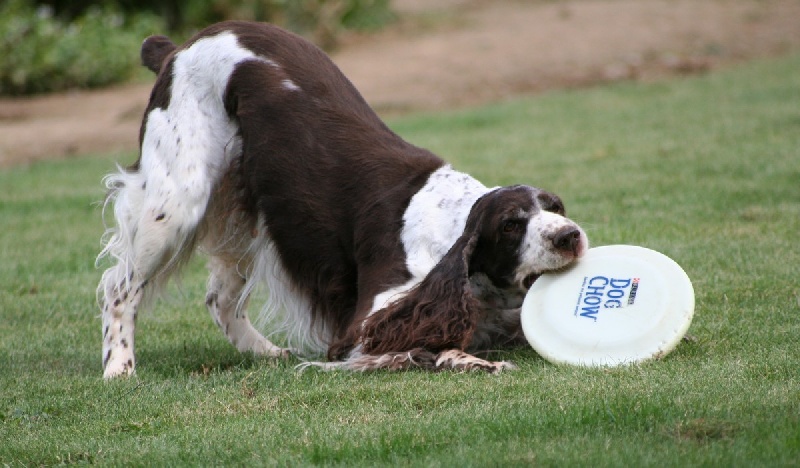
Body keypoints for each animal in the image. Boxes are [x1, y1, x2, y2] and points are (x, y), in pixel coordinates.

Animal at [97, 22, 592, 380]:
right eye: (510, 225)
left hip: (244, 212)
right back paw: (119, 369)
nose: (570, 237)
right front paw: (474, 362)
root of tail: (176, 47)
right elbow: (423, 347)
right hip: (178, 202)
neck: (452, 227)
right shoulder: (364, 325)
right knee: (120, 288)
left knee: (219, 298)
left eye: (556, 207)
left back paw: (268, 353)